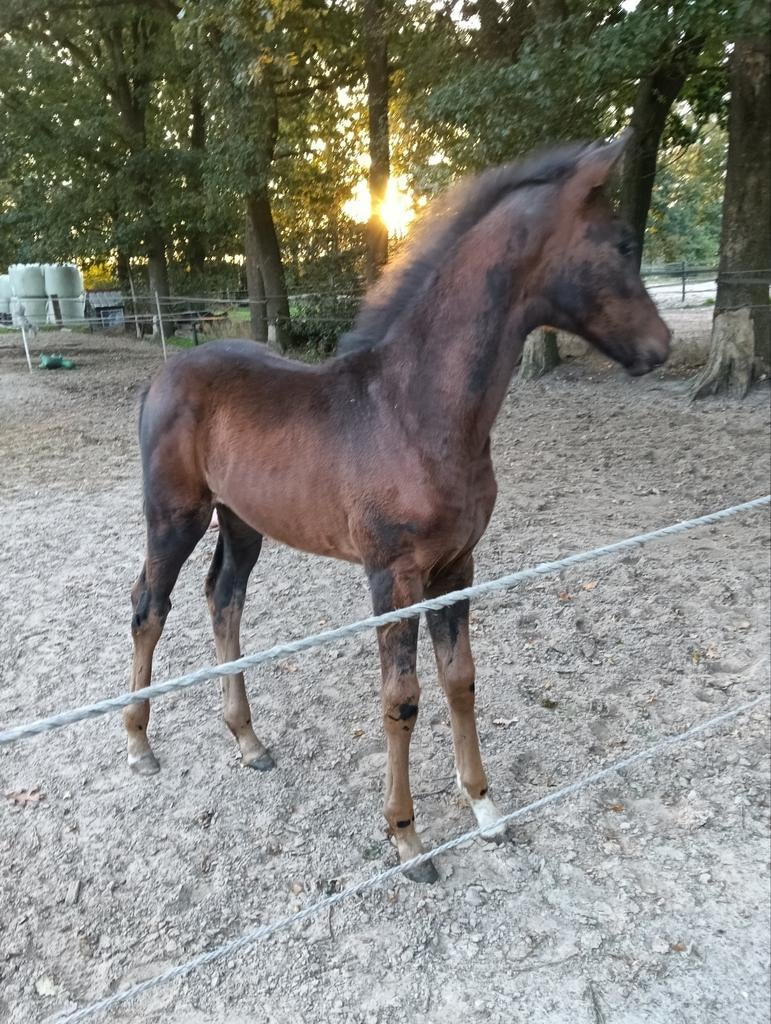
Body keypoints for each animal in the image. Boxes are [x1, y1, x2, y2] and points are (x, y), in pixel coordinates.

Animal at [125, 135, 670, 883]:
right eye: (621, 244)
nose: (660, 347)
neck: (417, 411)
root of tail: (163, 372)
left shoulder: (457, 566)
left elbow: (460, 679)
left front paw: (486, 811)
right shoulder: (393, 575)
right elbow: (401, 696)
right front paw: (408, 840)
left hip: (242, 521)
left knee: (223, 598)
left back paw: (248, 740)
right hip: (175, 514)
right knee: (149, 606)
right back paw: (139, 745)